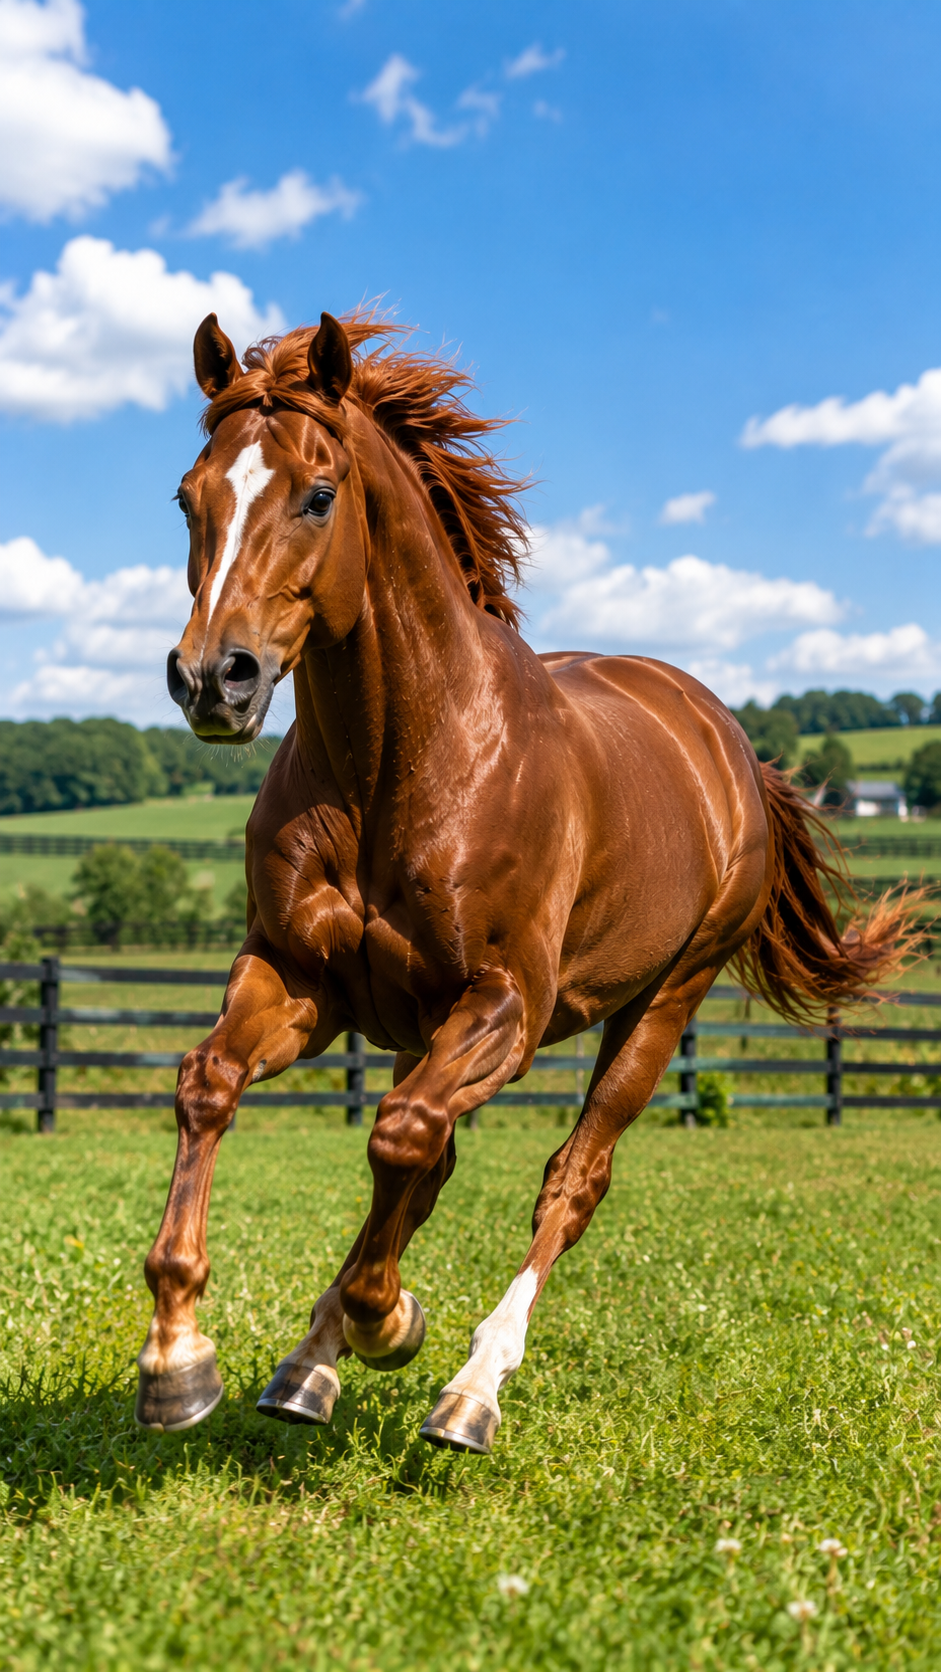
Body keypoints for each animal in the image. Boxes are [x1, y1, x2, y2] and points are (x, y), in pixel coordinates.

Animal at [135, 309, 909, 1454]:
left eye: (317, 494)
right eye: (189, 496)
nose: (210, 680)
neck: (399, 762)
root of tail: (724, 741)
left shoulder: (505, 1005)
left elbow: (403, 1136)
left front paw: (389, 1323)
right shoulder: (300, 981)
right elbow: (212, 1086)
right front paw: (179, 1361)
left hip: (658, 1007)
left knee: (567, 1180)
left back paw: (469, 1388)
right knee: (428, 1161)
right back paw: (310, 1364)